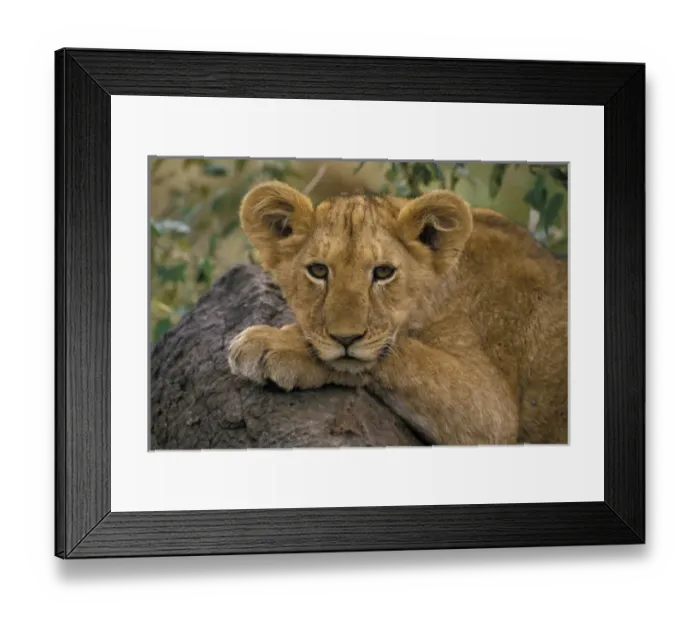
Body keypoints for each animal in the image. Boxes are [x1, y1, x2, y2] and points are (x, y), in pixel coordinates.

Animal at [227, 180, 568, 446]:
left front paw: (275, 343)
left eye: (383, 272)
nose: (346, 338)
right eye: (318, 270)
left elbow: (404, 355)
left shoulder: (493, 411)